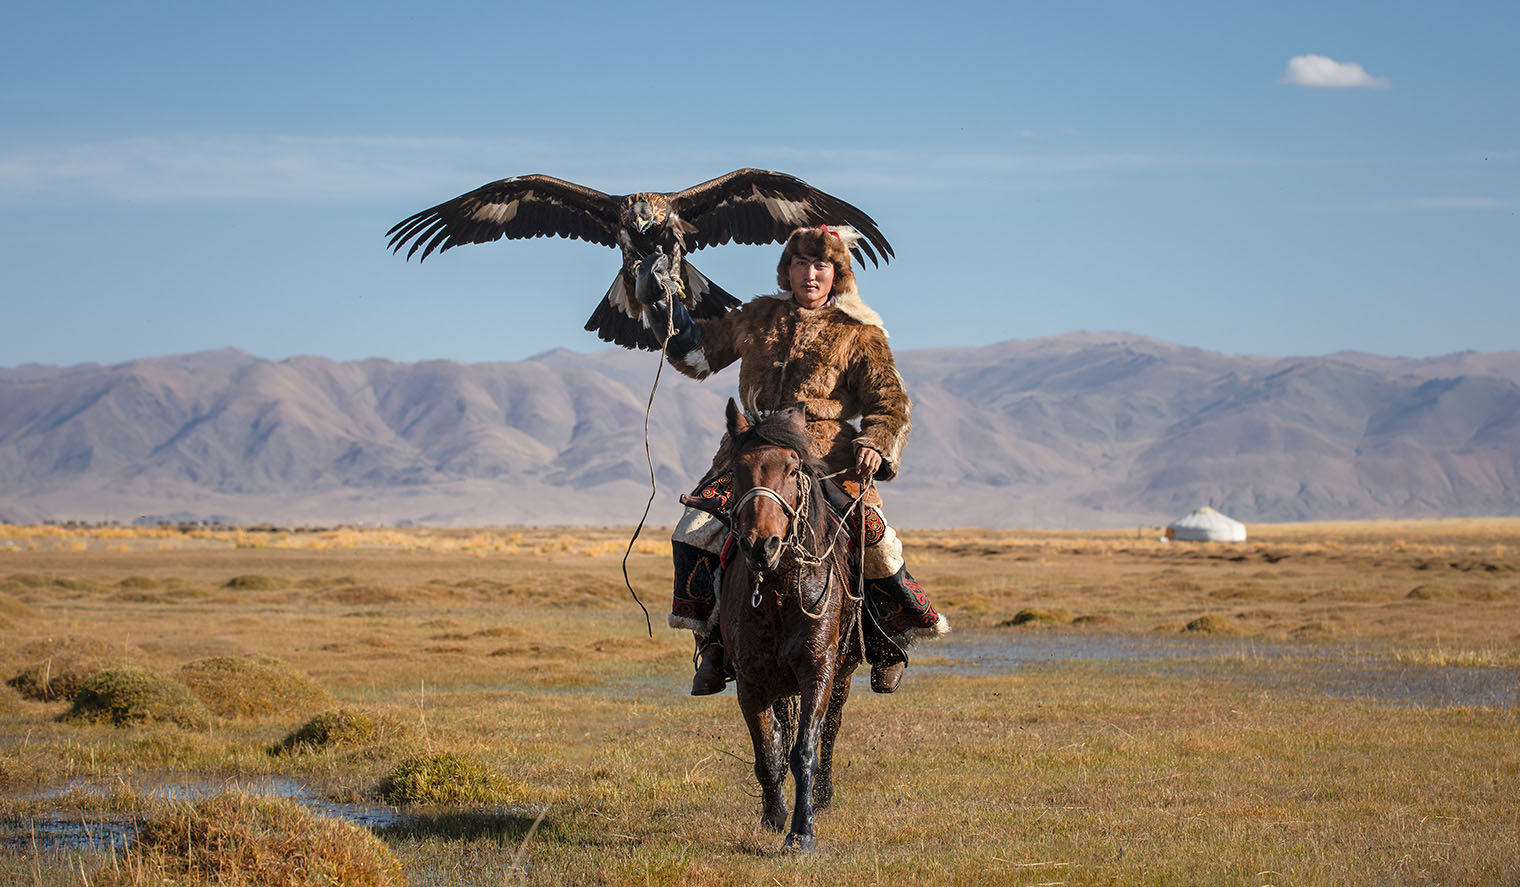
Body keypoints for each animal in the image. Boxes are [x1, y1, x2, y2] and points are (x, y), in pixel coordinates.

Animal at [680, 397, 869, 850]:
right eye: (736, 470)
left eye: (793, 468)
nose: (760, 545)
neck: (781, 591)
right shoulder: (751, 681)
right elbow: (768, 748)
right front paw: (774, 814)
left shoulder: (818, 670)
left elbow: (806, 749)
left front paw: (802, 834)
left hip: (842, 673)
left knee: (831, 730)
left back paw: (824, 795)